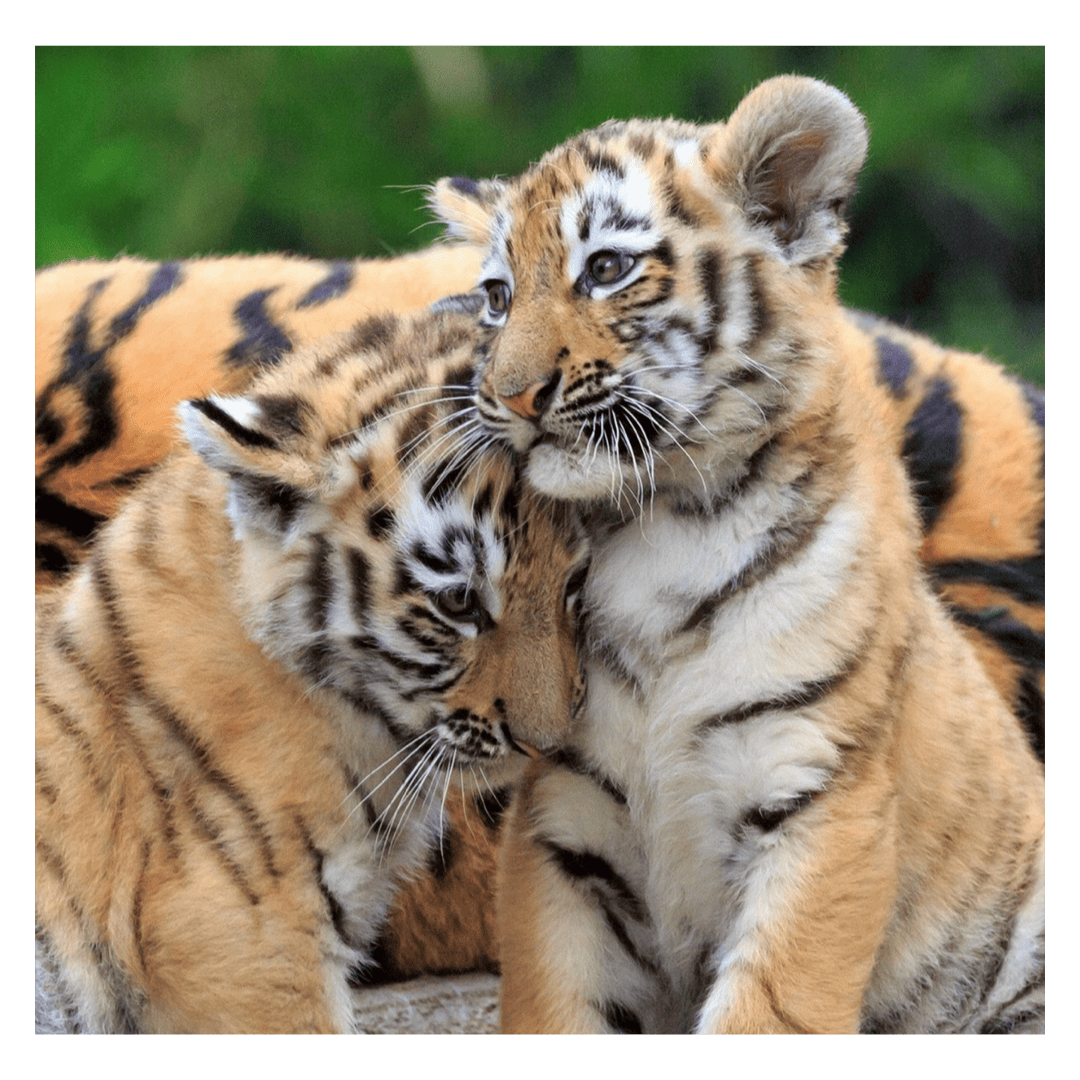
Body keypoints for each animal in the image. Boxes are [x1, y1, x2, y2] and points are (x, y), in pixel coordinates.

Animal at [429, 74, 1045, 1033]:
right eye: (497, 294)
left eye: (605, 269)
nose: (508, 393)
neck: (655, 522)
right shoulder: (563, 824)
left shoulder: (821, 791)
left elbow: (773, 1004)